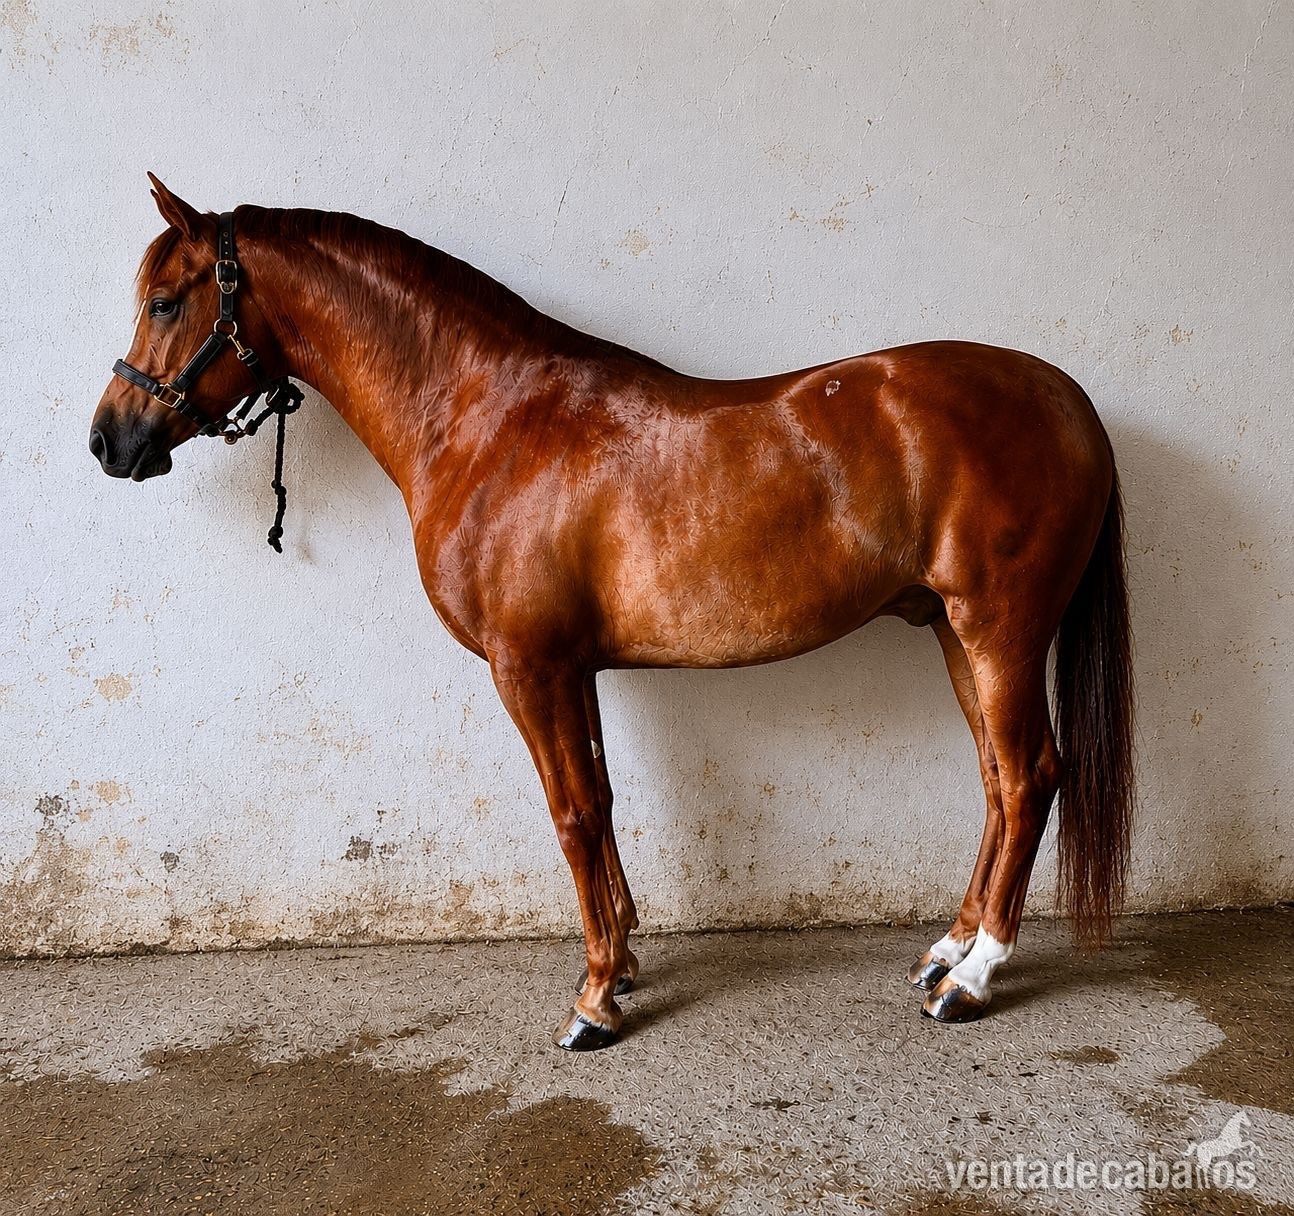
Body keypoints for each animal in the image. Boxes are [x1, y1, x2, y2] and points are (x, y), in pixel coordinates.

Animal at [90, 177, 1134, 1051]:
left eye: (166, 300)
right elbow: (601, 801)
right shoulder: (575, 668)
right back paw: (946, 951)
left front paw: (594, 1001)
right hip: (954, 633)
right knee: (997, 782)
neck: (487, 420)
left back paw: (974, 978)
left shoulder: (530, 665)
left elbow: (573, 814)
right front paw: (623, 963)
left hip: (999, 634)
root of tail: (1066, 398)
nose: (110, 441)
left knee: (1031, 776)